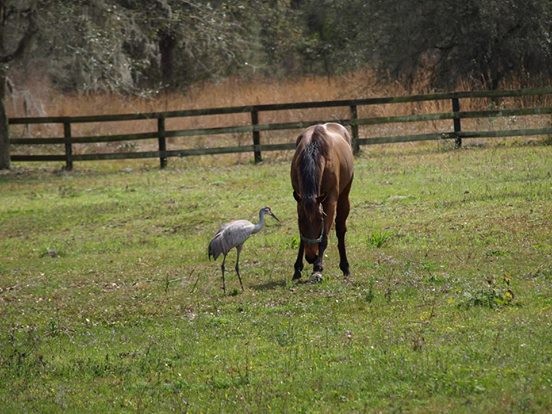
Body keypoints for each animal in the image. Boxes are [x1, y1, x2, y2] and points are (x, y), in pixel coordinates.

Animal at [288, 121, 354, 280]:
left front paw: (317, 269)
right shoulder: (299, 202)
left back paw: (345, 267)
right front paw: (297, 269)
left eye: (320, 219)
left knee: (340, 229)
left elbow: (324, 238)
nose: (311, 257)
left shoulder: (329, 202)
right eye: (301, 220)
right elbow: (302, 237)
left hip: (344, 197)